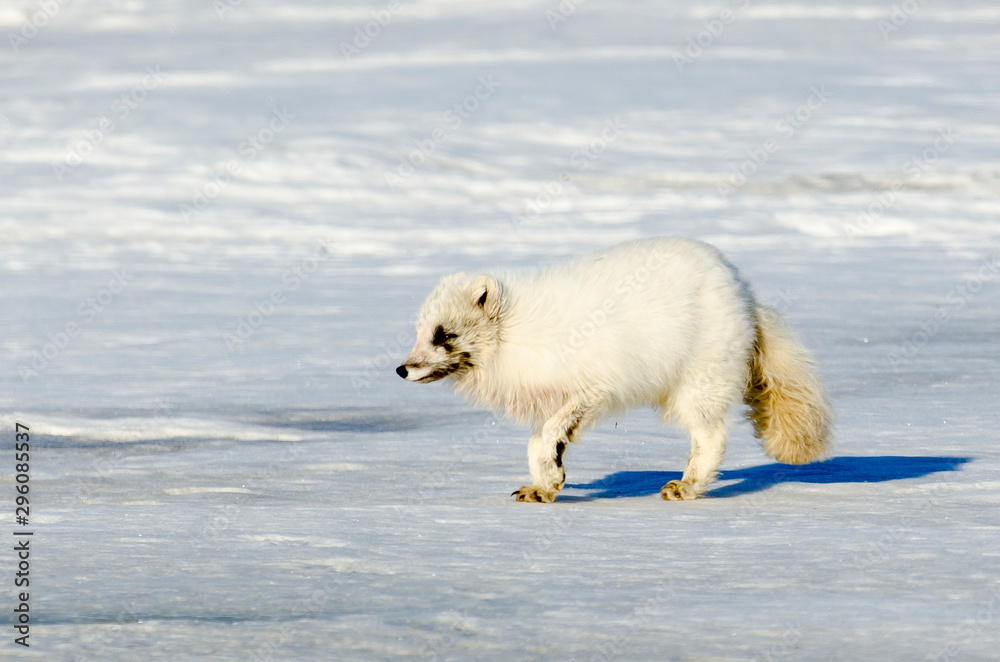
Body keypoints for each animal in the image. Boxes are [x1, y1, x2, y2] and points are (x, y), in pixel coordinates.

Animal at [394, 239, 832, 504]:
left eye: (443, 335)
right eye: (420, 332)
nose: (401, 369)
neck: (516, 336)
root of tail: (743, 293)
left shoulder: (593, 389)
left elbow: (551, 434)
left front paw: (552, 476)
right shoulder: (552, 398)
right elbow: (537, 445)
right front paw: (546, 485)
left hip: (697, 385)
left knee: (712, 438)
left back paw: (688, 486)